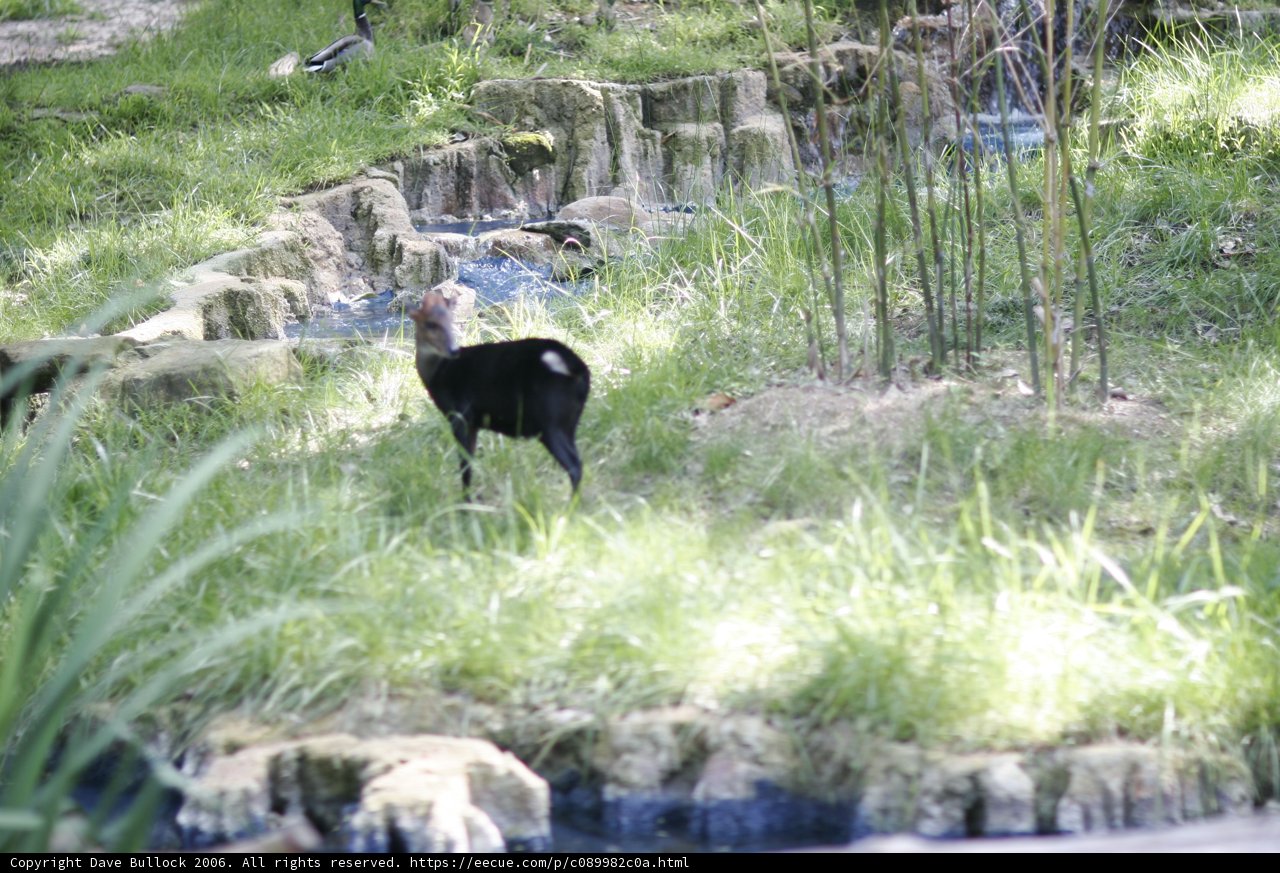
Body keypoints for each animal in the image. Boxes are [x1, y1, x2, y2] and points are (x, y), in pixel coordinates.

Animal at [409, 290, 591, 494]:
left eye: (451, 319)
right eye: (430, 324)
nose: (453, 350)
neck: (439, 371)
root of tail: (575, 368)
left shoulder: (460, 414)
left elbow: (465, 465)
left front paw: (465, 500)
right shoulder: (473, 422)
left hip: (549, 419)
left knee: (574, 466)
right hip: (569, 421)